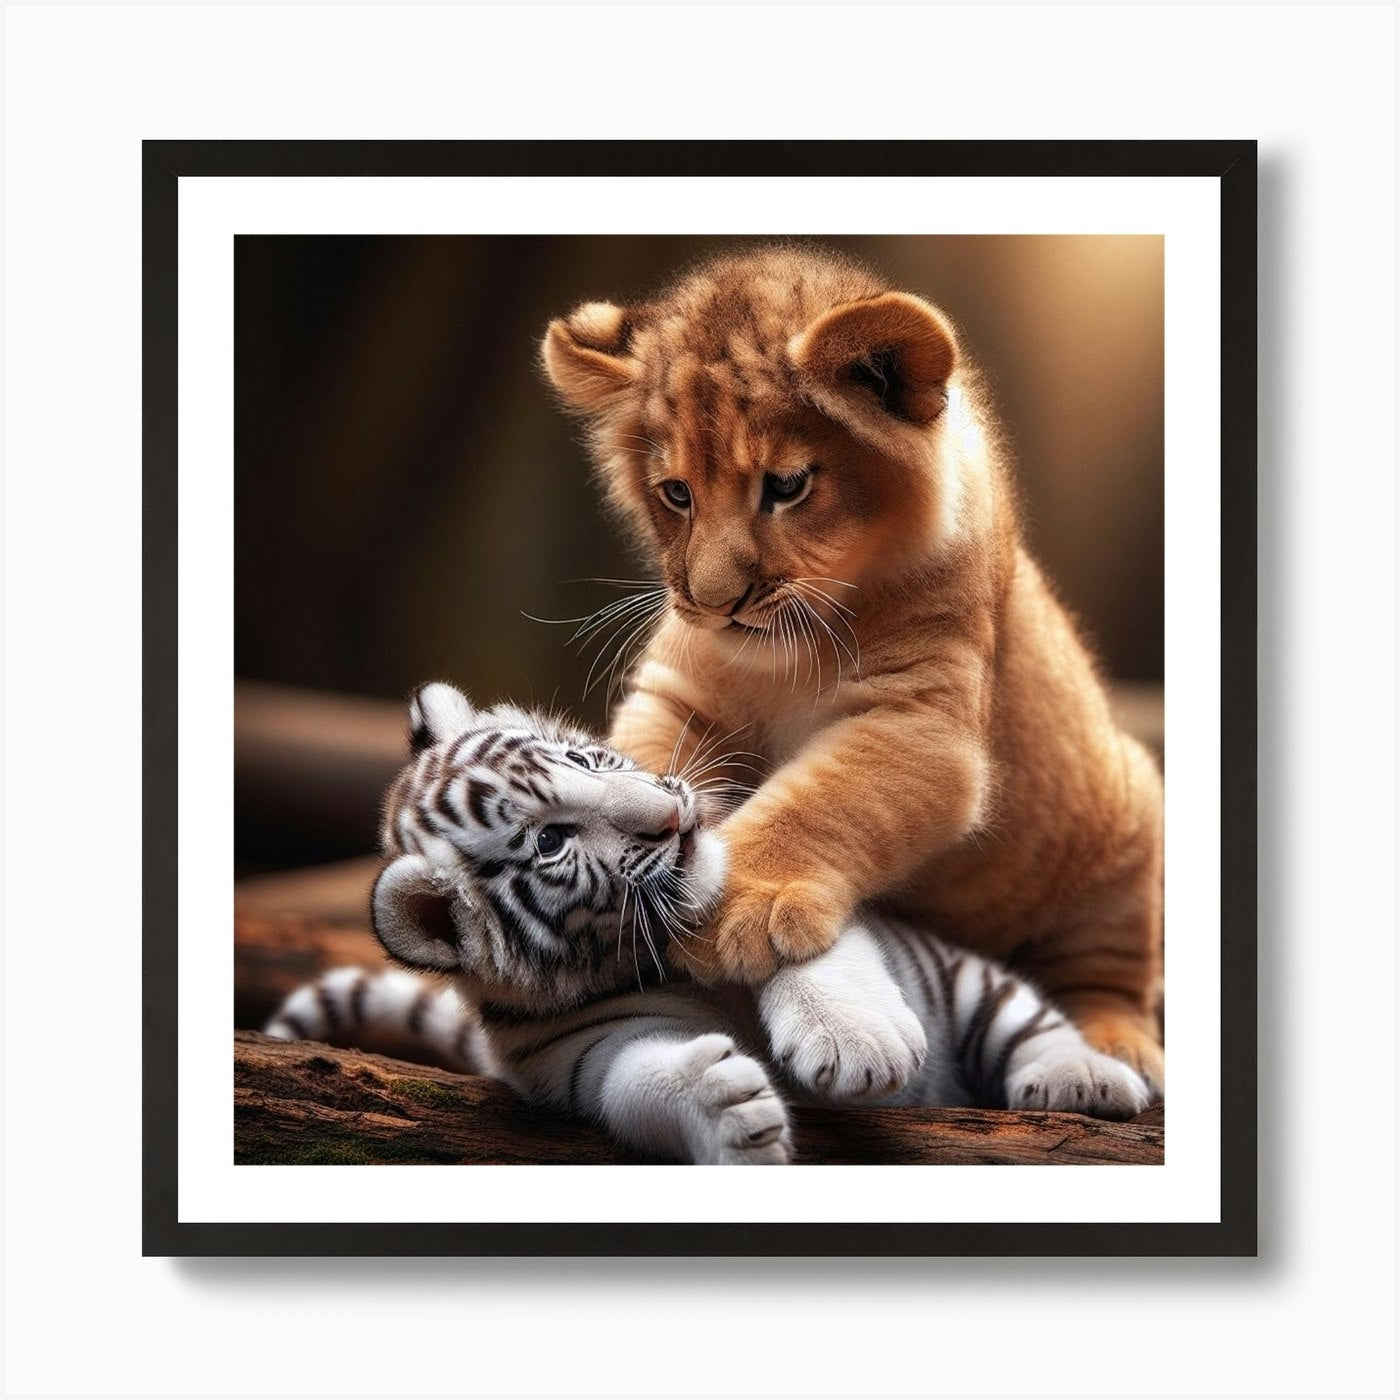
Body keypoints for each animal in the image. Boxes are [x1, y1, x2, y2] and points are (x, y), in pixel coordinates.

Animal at [264, 682, 1151, 1165]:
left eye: (583, 759)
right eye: (550, 841)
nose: (670, 817)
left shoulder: (782, 890)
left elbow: (808, 943)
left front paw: (856, 1042)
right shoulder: (577, 1055)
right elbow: (641, 1080)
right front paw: (731, 1112)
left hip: (962, 977)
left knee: (1026, 1017)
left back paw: (1084, 1078)